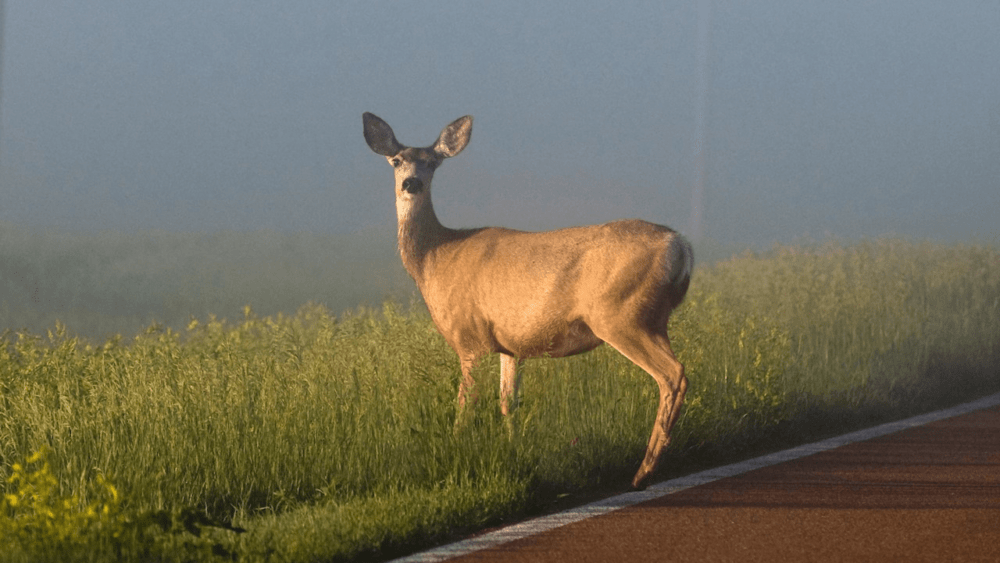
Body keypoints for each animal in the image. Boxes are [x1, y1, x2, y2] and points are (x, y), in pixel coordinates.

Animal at [362, 112, 693, 489]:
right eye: (396, 160)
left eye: (432, 162)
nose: (412, 184)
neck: (435, 258)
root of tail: (681, 245)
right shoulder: (510, 345)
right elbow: (508, 402)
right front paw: (514, 452)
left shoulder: (469, 338)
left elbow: (466, 402)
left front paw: (455, 448)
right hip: (653, 318)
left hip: (620, 314)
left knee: (672, 374)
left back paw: (643, 471)